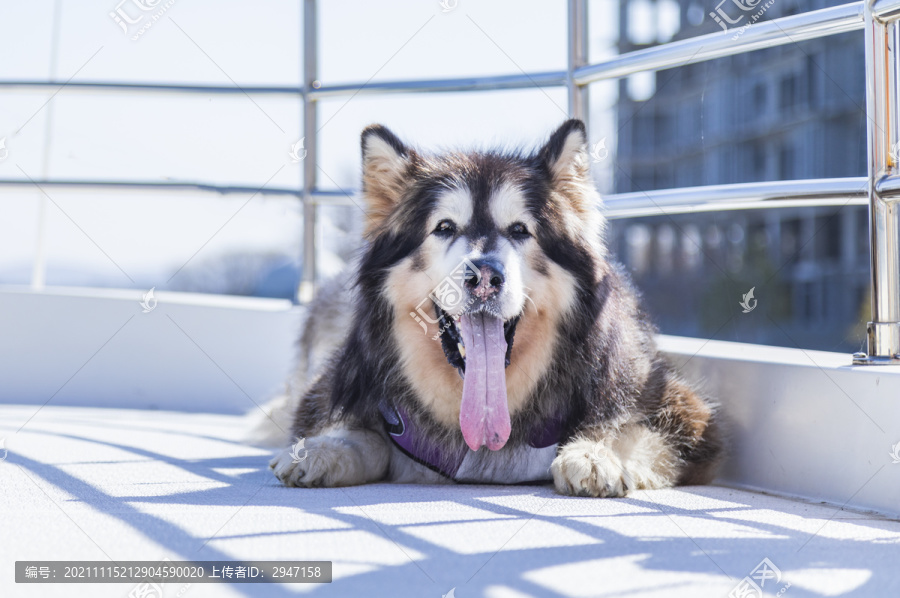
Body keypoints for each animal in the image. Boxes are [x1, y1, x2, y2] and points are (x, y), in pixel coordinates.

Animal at [268, 120, 724, 496]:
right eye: (444, 227)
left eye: (520, 230)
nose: (485, 275)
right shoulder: (333, 388)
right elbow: (357, 431)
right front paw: (322, 449)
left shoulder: (681, 409)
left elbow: (629, 426)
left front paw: (596, 453)